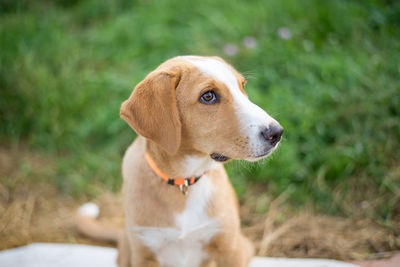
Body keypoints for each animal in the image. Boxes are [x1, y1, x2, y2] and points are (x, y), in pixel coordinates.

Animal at [76, 55, 282, 266]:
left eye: (242, 87)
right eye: (208, 96)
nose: (277, 133)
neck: (184, 180)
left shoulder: (229, 248)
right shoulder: (144, 253)